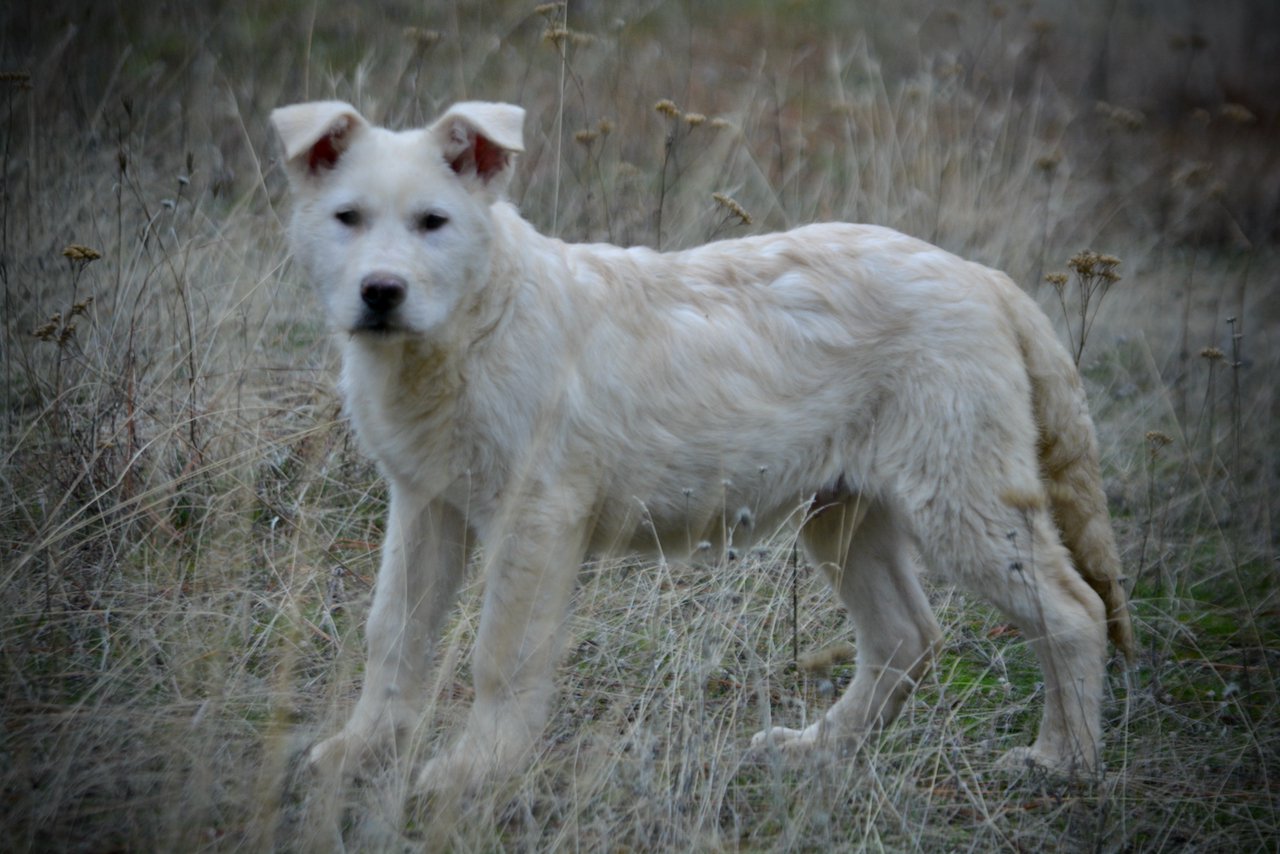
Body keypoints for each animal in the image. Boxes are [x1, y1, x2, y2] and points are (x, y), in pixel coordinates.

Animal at [270, 100, 1131, 793]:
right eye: (346, 218)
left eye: (433, 224)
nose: (381, 293)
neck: (470, 326)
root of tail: (988, 280)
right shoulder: (425, 504)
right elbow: (393, 637)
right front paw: (355, 755)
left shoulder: (536, 515)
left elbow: (500, 655)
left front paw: (471, 774)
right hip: (848, 511)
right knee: (905, 637)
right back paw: (815, 750)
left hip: (962, 499)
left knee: (1073, 610)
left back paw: (1062, 763)